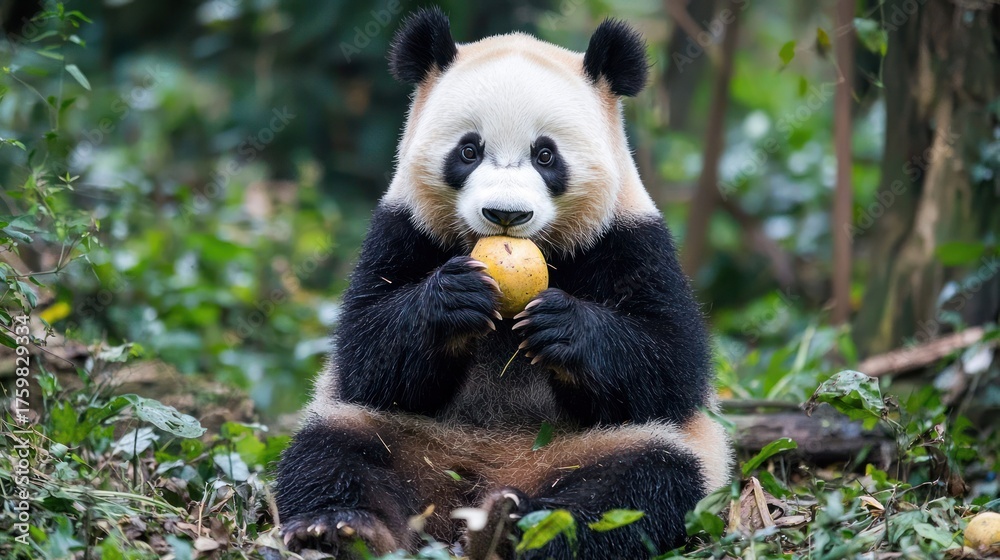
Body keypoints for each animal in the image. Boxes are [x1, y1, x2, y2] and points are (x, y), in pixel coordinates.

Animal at [275, 8, 732, 560]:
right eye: (469, 150)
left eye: (545, 155)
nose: (506, 215)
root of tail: (477, 481)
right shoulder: (401, 229)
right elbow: (366, 354)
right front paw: (452, 301)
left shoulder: (631, 239)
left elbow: (670, 363)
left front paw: (563, 326)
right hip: (400, 435)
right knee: (333, 450)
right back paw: (342, 527)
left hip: (598, 448)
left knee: (641, 482)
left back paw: (526, 530)